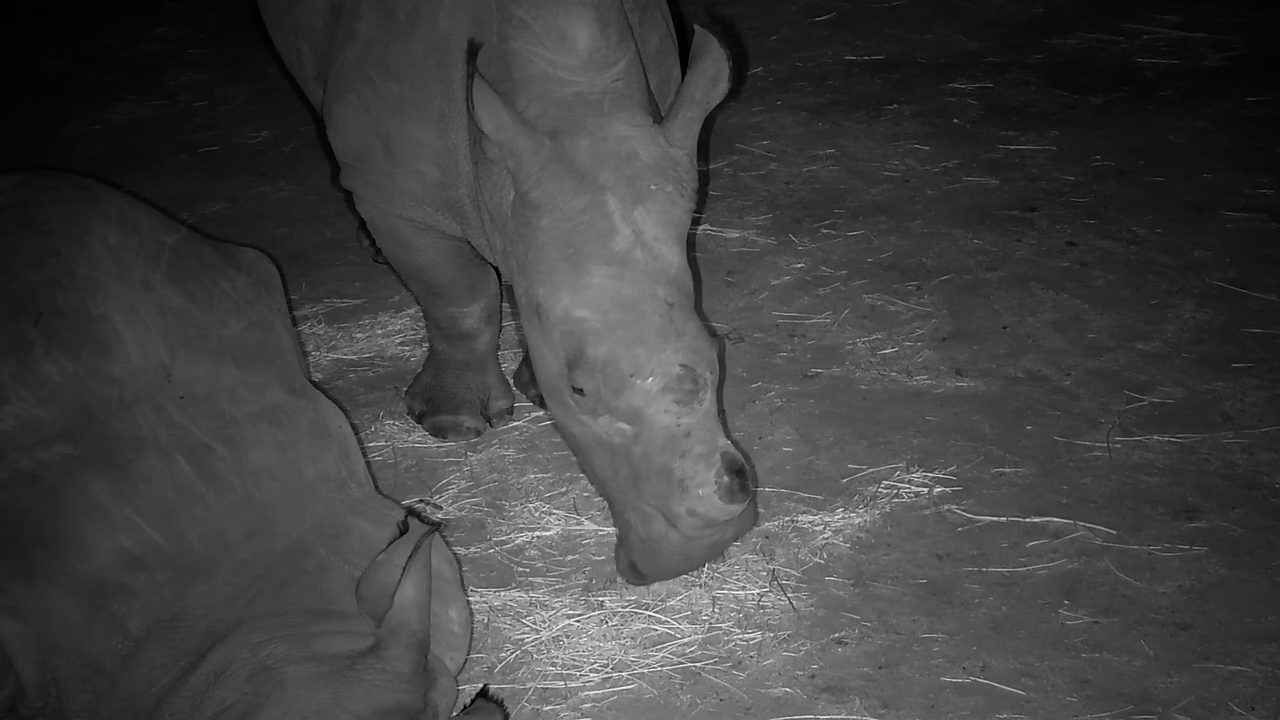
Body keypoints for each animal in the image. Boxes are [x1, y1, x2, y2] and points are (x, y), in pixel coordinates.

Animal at [257, 0, 757, 584]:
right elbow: (460, 296)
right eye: (579, 390)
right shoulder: (398, 200)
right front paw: (452, 426)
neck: (578, 110)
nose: (701, 551)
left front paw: (532, 383)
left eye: (718, 353)